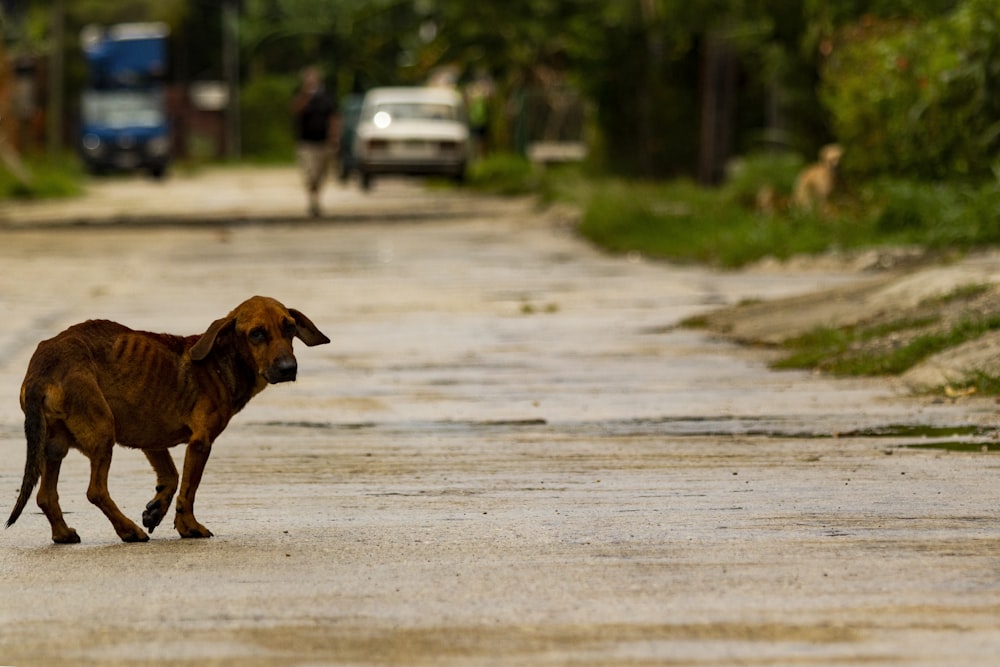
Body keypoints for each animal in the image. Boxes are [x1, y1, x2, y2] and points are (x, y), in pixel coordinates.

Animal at [5, 296, 330, 544]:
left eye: (289, 328)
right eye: (257, 333)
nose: (288, 368)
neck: (220, 363)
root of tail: (42, 368)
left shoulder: (151, 439)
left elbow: (171, 478)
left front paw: (156, 509)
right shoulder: (200, 443)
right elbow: (188, 490)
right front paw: (189, 527)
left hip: (53, 447)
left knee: (45, 496)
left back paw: (63, 534)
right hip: (102, 433)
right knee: (95, 491)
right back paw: (128, 531)